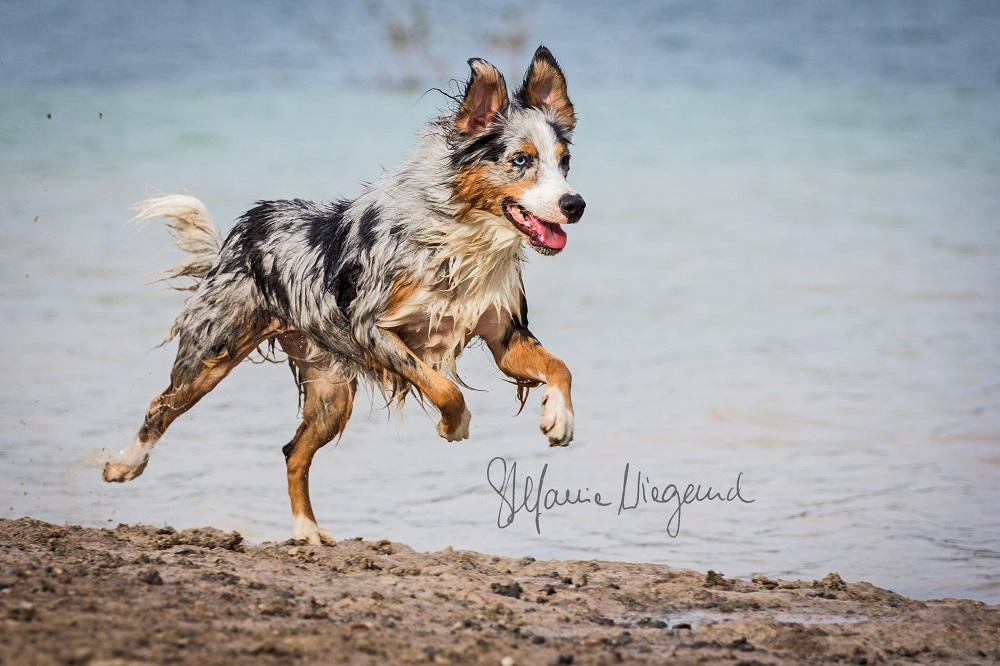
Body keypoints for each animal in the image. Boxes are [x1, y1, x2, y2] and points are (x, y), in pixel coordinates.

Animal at [103, 48, 584, 544]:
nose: (575, 205)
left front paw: (559, 417)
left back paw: (306, 530)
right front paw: (454, 426)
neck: (461, 237)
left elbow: (560, 367)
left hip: (331, 392)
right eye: (521, 160)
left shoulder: (504, 335)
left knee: (293, 451)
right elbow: (443, 387)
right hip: (211, 353)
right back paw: (124, 465)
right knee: (160, 407)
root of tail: (238, 234)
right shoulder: (370, 329)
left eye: (565, 161)